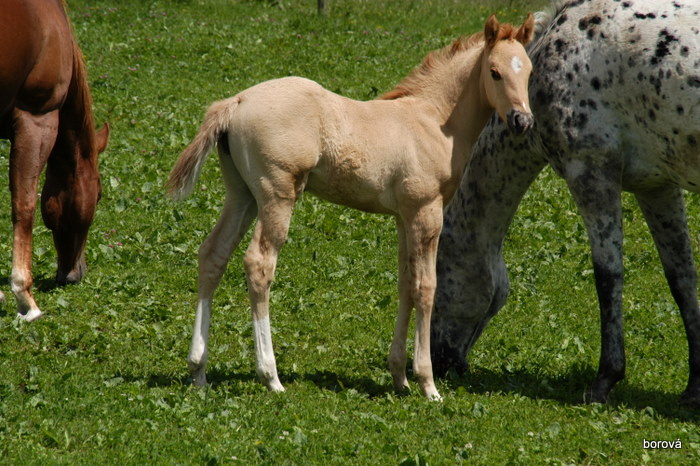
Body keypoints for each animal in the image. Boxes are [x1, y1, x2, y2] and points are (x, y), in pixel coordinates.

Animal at [170, 15, 536, 400]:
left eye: (527, 71)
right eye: (494, 72)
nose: (521, 121)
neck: (433, 120)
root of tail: (238, 100)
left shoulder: (404, 217)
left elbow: (405, 283)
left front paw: (399, 376)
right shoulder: (426, 212)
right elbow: (426, 287)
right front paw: (427, 383)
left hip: (242, 195)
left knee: (213, 254)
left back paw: (198, 370)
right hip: (276, 195)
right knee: (259, 264)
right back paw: (270, 376)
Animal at [432, 0, 700, 404]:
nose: (437, 361)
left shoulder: (591, 173)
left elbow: (608, 277)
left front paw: (605, 379)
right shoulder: (657, 187)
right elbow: (681, 278)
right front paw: (695, 386)